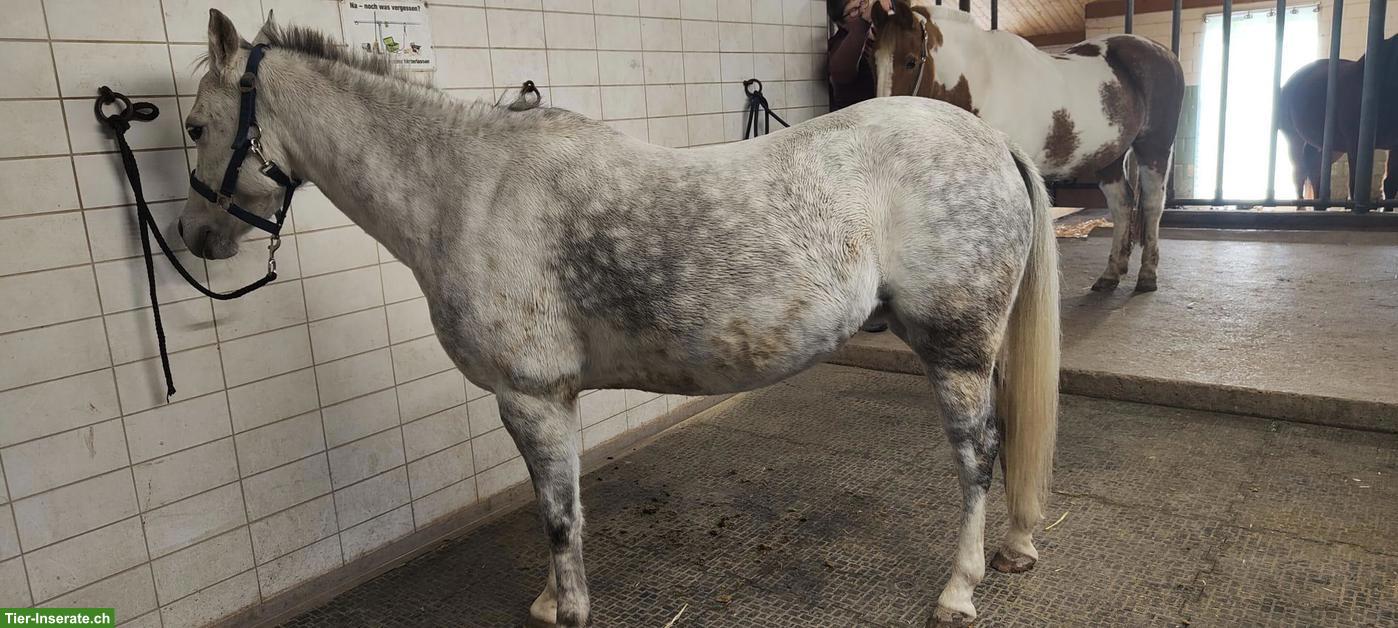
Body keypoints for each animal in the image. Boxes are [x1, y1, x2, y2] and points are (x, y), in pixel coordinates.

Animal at [179, 11, 1060, 627]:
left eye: (193, 125)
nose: (195, 236)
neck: (467, 188)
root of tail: (990, 141)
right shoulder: (550, 400)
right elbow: (559, 507)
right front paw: (550, 599)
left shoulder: (530, 396)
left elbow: (557, 514)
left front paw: (567, 610)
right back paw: (1015, 548)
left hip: (955, 349)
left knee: (977, 458)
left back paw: (958, 590)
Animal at [871, 0, 1184, 293]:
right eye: (874, 61)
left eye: (911, 61)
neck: (986, 84)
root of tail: (1163, 52)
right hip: (1109, 158)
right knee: (1122, 206)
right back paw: (1111, 275)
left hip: (1154, 150)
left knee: (1153, 204)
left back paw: (1147, 275)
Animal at [1278, 34, 1398, 204]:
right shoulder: (1355, 144)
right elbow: (1355, 188)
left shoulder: (1395, 145)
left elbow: (1390, 185)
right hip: (1294, 140)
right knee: (1299, 175)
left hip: (1329, 147)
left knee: (1315, 172)